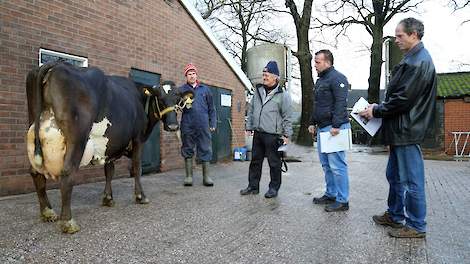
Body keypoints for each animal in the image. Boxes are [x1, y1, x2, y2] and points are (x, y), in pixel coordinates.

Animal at [24, 61, 191, 233]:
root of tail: (55, 64)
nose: (173, 126)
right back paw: (68, 221)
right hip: (77, 138)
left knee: (35, 173)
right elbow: (137, 167)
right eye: (160, 98)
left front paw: (108, 198)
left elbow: (109, 171)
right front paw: (140, 197)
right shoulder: (138, 138)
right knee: (67, 172)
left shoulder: (111, 144)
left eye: (178, 99)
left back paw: (47, 212)